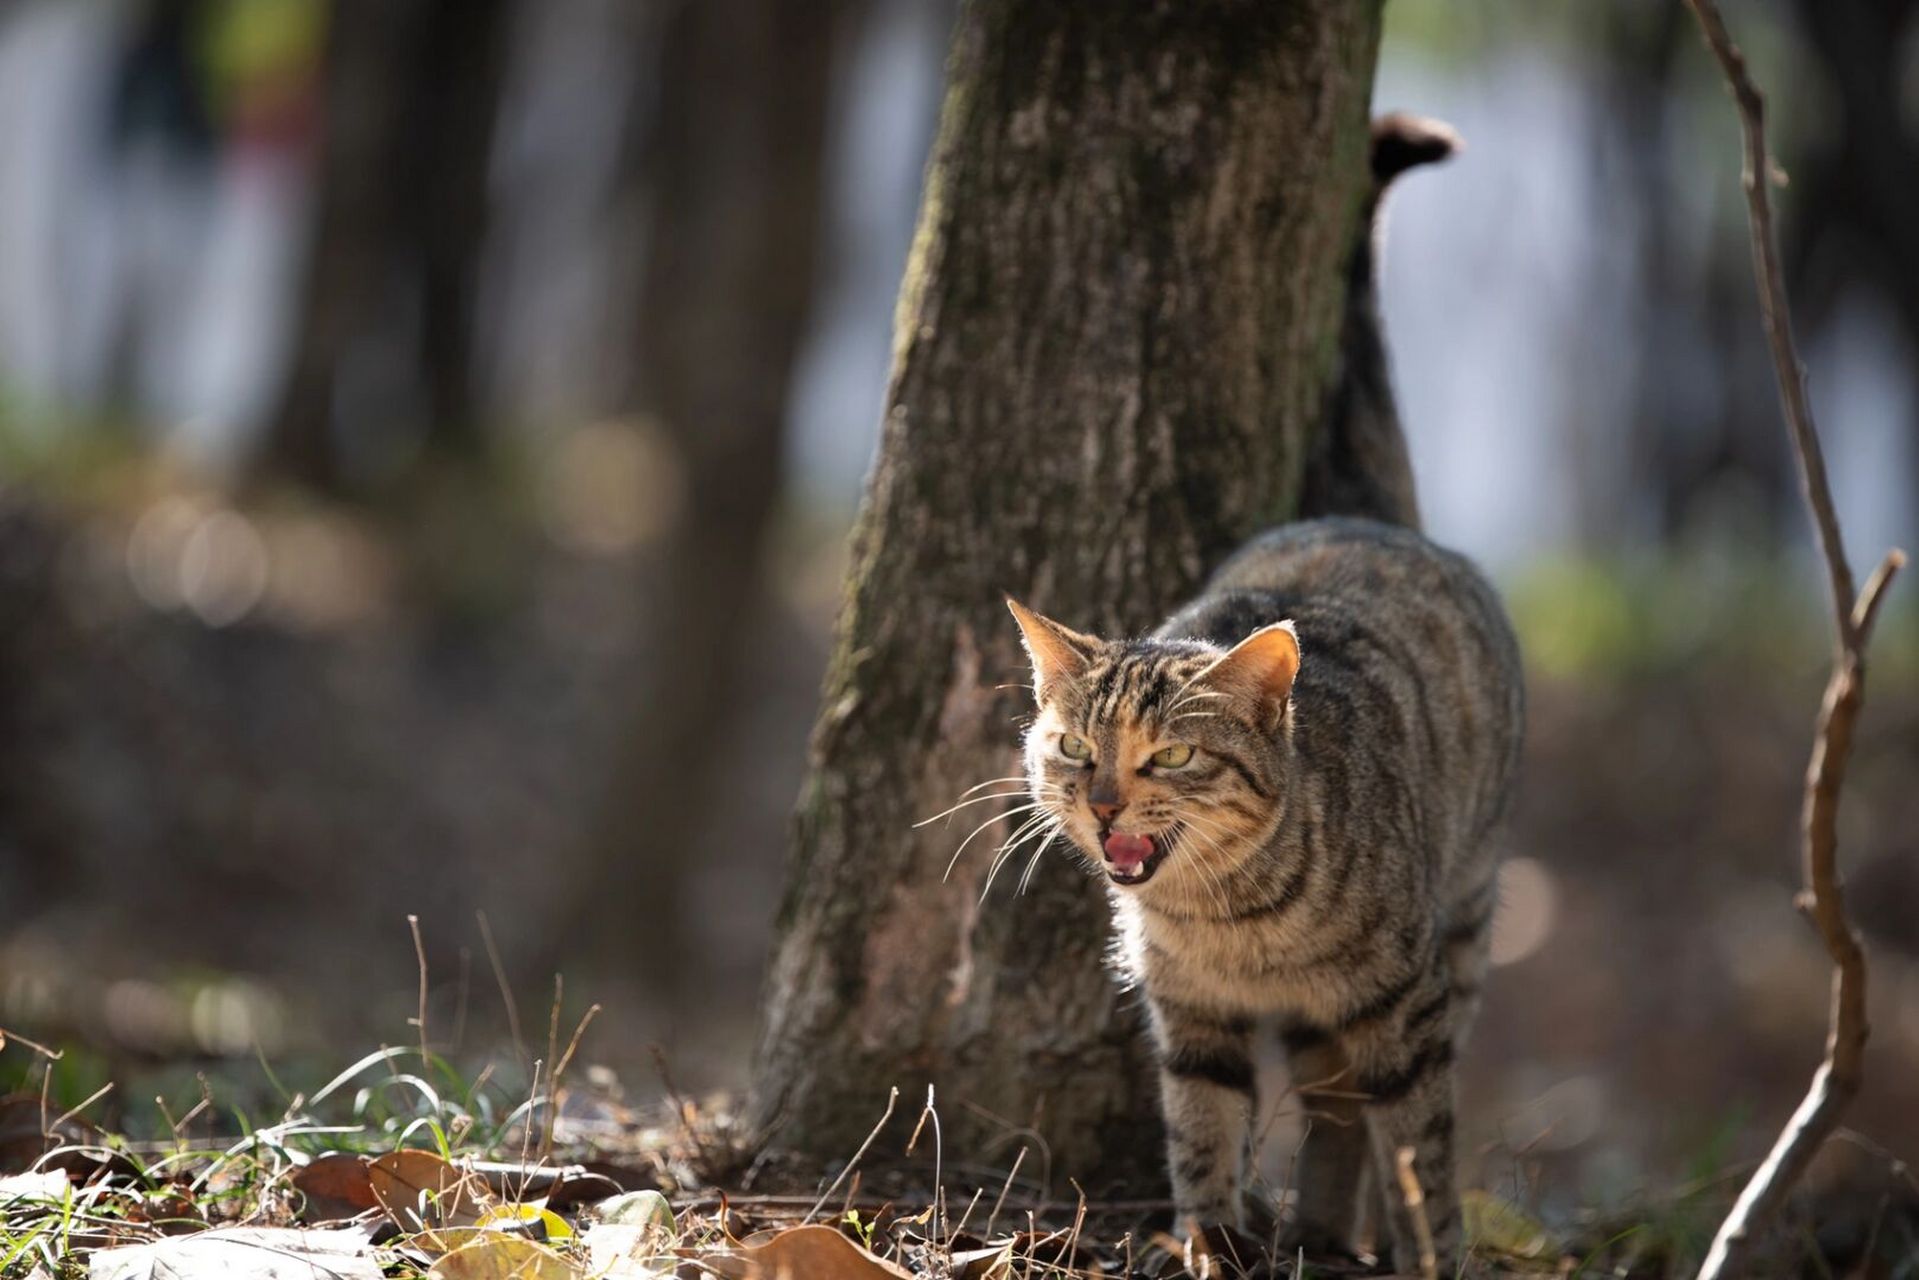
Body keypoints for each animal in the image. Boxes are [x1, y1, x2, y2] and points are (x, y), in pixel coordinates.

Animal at [997, 117, 1519, 1274]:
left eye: (1172, 755)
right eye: (1074, 749)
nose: (1102, 800)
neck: (1231, 922)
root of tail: (1368, 515)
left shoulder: (1404, 1006)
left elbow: (1419, 1149)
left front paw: (1430, 1248)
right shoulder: (1190, 1017)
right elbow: (1201, 1129)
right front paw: (1208, 1238)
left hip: (1460, 930)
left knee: (1357, 1111)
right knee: (1327, 1107)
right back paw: (1316, 1226)